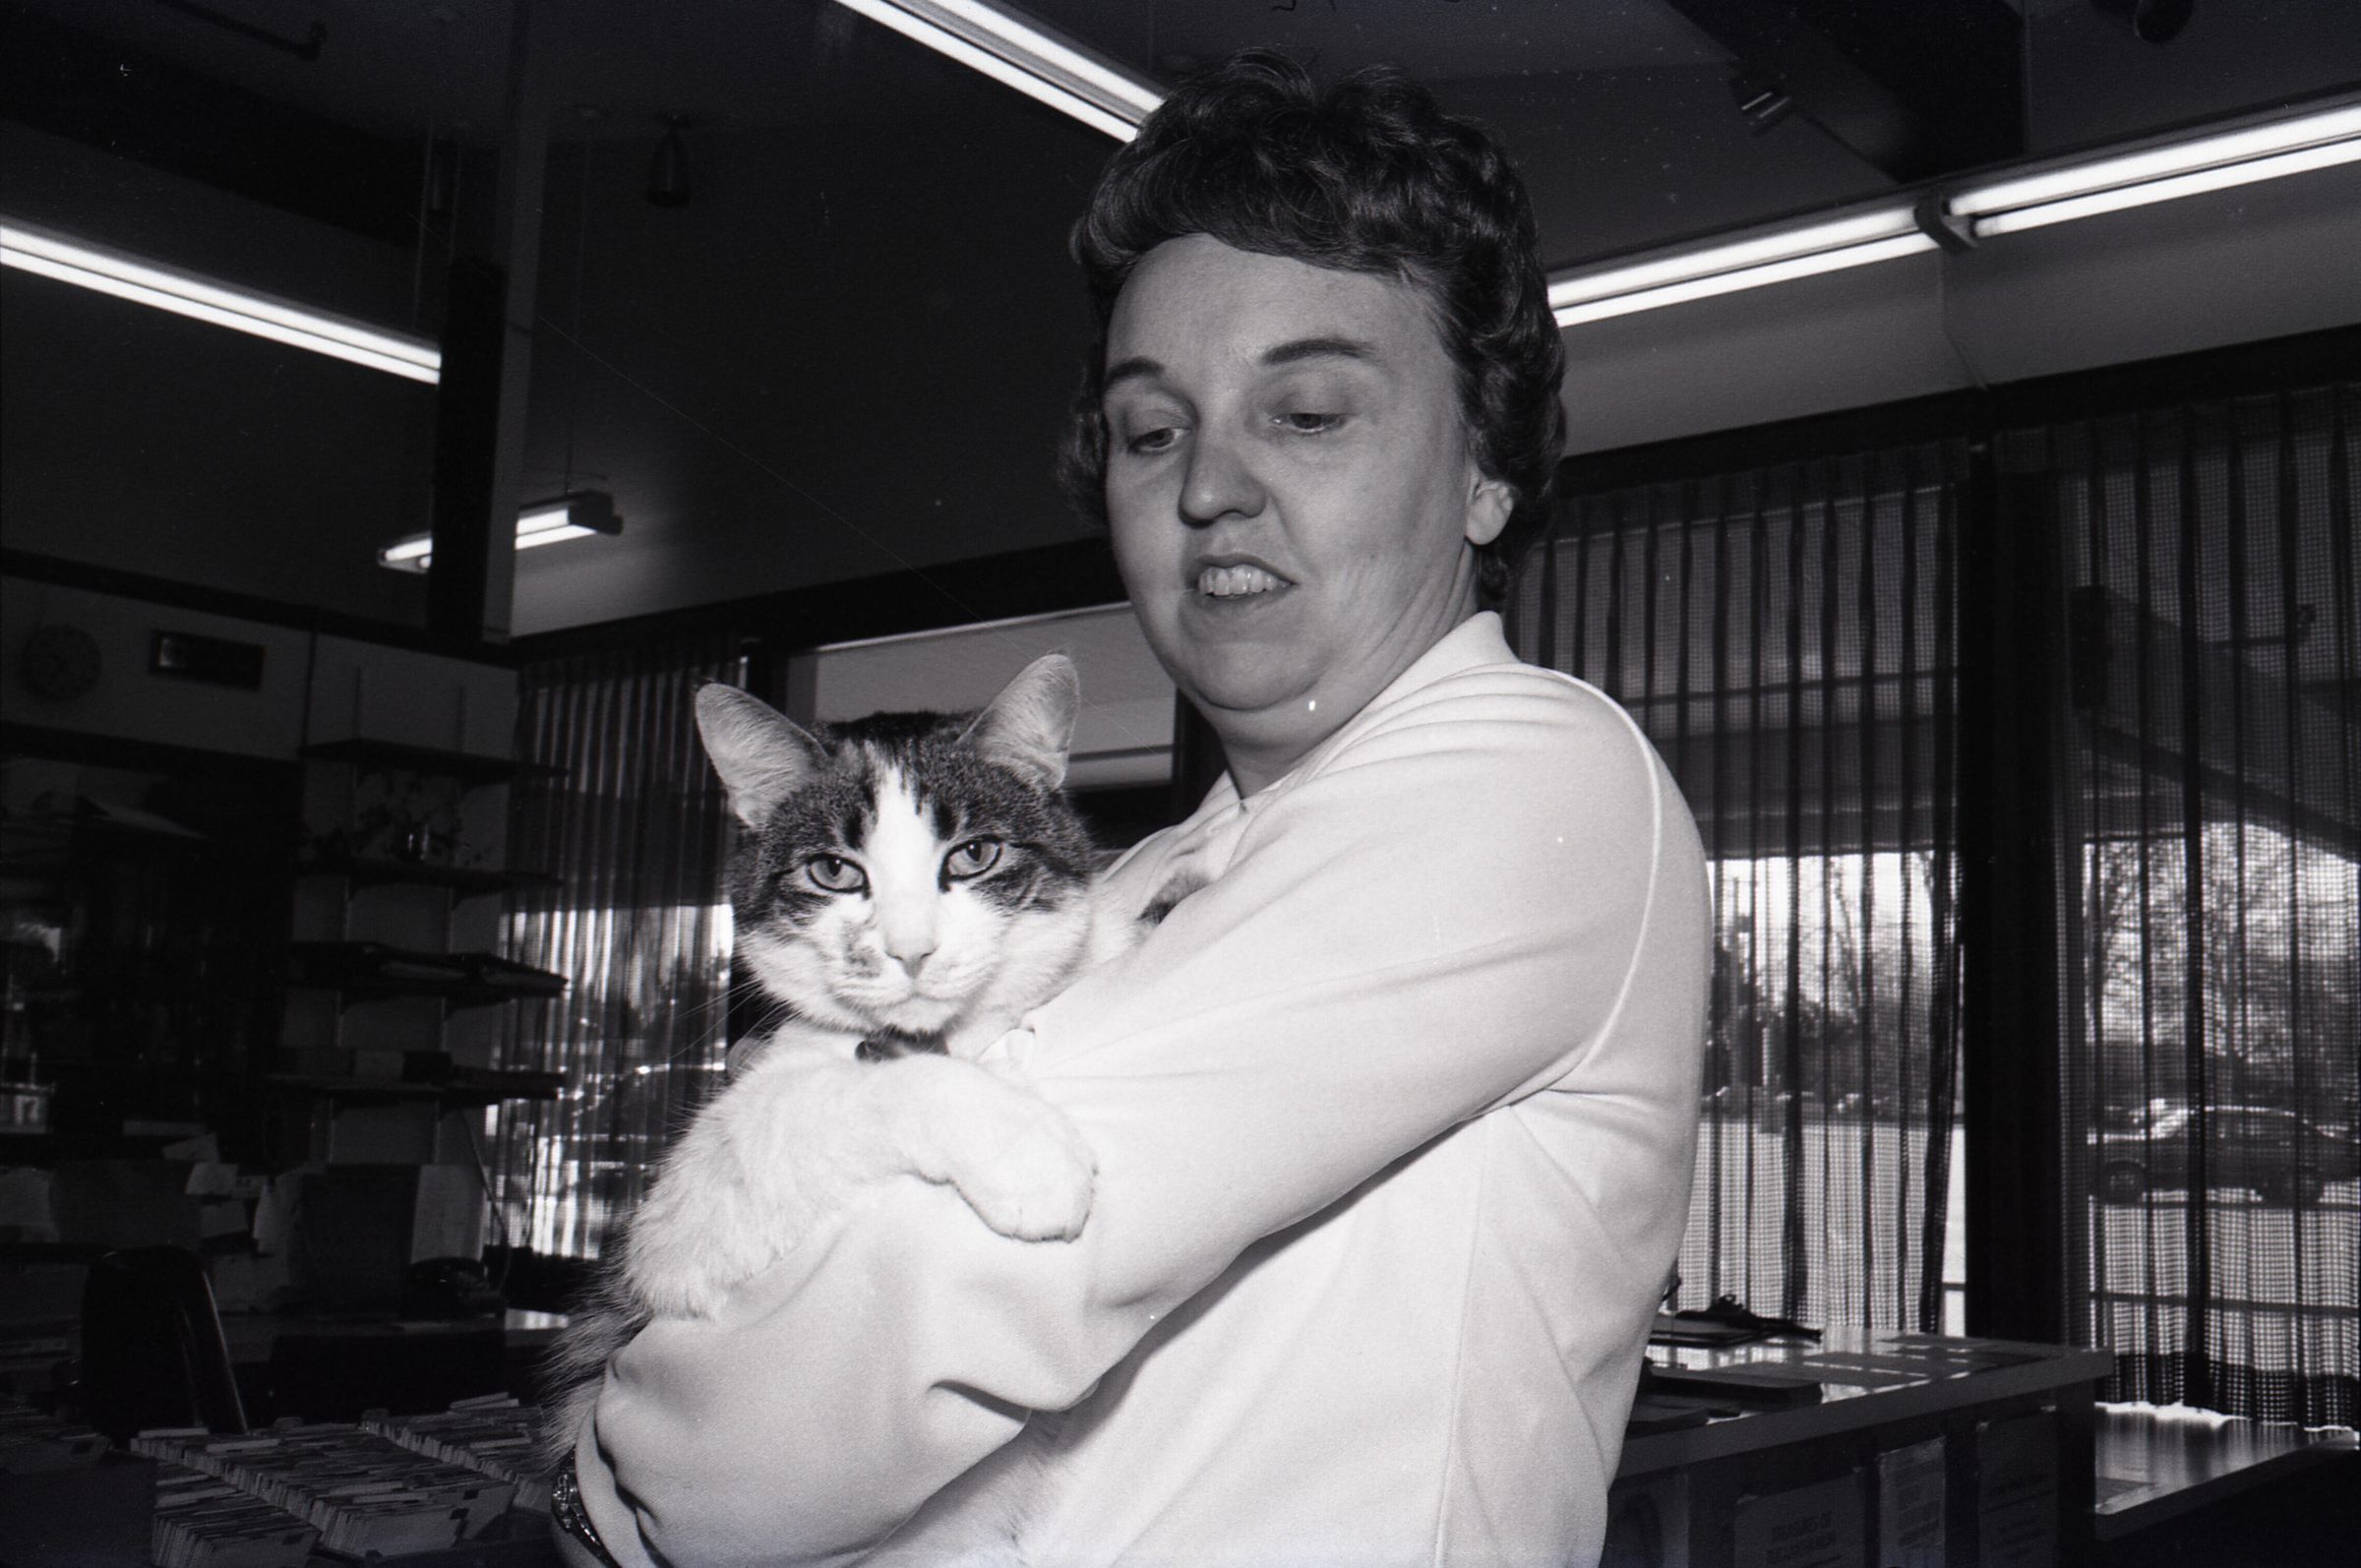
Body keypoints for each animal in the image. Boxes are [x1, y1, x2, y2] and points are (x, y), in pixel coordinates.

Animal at [541, 655, 1151, 1552]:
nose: (910, 949)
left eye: (975, 854)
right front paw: (1022, 1151)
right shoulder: (672, 1245)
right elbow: (829, 1097)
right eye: (832, 871)